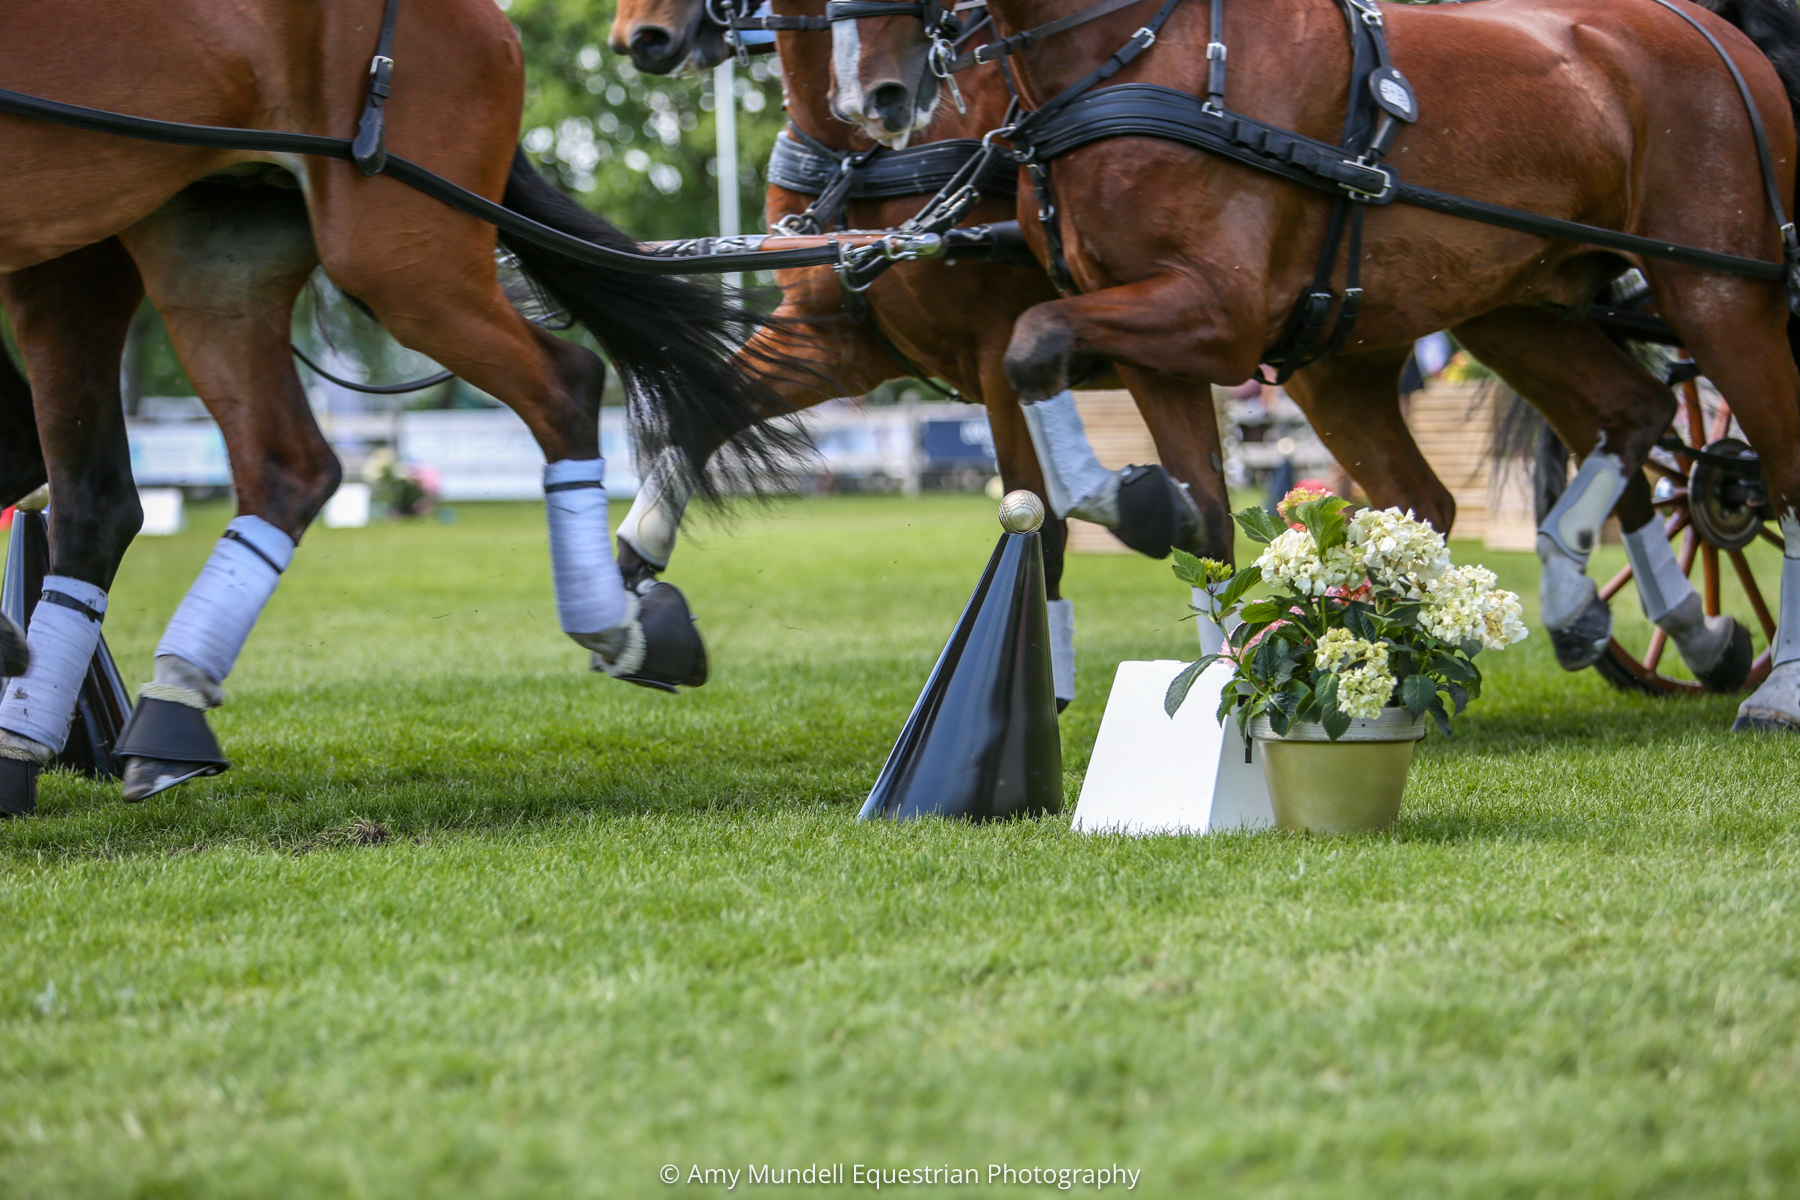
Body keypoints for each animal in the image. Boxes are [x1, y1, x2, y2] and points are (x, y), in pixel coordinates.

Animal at [612, 0, 1231, 705]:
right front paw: (639, 591)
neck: (855, 156)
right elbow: (701, 413)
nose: (640, 38)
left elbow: (1040, 522)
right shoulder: (832, 339)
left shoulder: (996, 352)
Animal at [831, 0, 1800, 734]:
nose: (872, 92)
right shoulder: (1154, 340)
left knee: (1775, 467)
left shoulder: (1212, 313)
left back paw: (1771, 686)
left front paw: (1128, 504)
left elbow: (1032, 344)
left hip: (1720, 292)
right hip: (1512, 309)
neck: (1144, 58)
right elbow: (1197, 522)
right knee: (1624, 416)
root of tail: (1716, 32)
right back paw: (1587, 607)